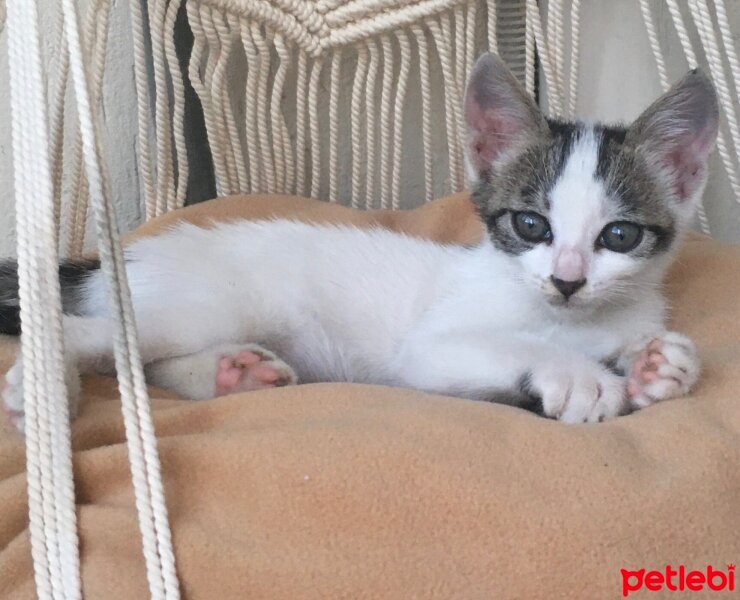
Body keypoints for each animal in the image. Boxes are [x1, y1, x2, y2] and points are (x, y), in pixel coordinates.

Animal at [0, 51, 716, 426]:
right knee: (93, 333)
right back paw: (40, 390)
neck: (567, 320)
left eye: (618, 235)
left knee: (147, 361)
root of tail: (123, 254)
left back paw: (234, 375)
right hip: (199, 305)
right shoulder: (429, 350)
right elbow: (493, 347)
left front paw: (656, 366)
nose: (567, 280)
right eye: (531, 225)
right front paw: (581, 377)